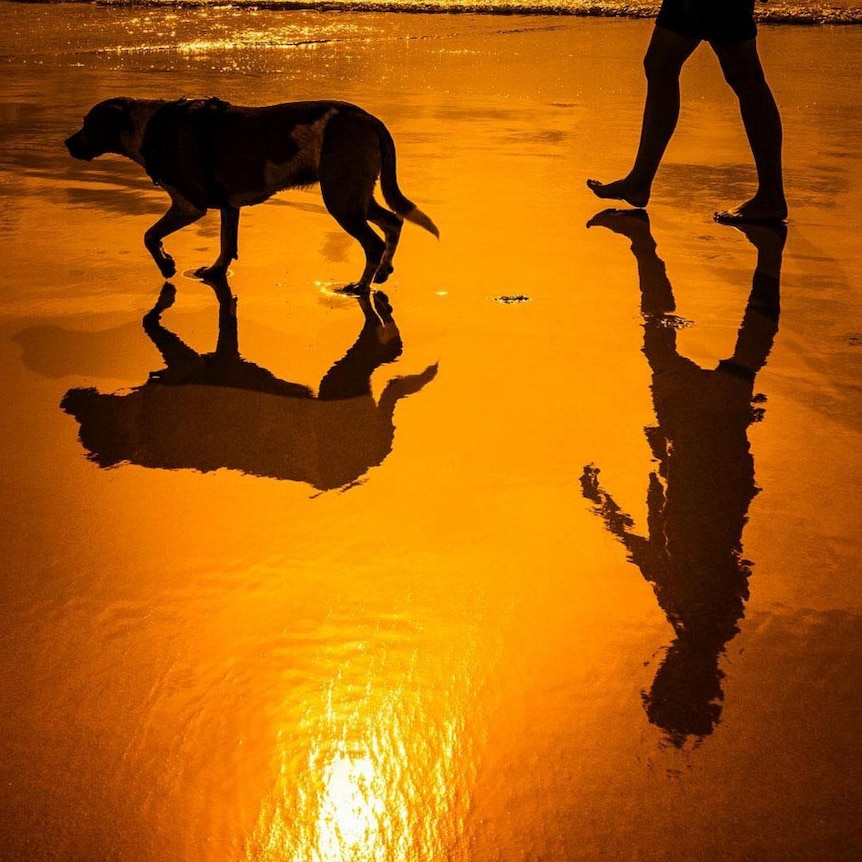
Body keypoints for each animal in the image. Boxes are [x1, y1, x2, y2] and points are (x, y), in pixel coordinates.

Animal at [65, 97, 438, 292]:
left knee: (374, 241)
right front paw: (215, 273)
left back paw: (360, 287)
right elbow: (226, 244)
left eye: (88, 124)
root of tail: (369, 117)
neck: (148, 127)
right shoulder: (228, 206)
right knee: (393, 222)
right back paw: (383, 272)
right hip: (355, 194)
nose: (67, 143)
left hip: (341, 199)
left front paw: (168, 265)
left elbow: (149, 235)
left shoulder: (190, 204)